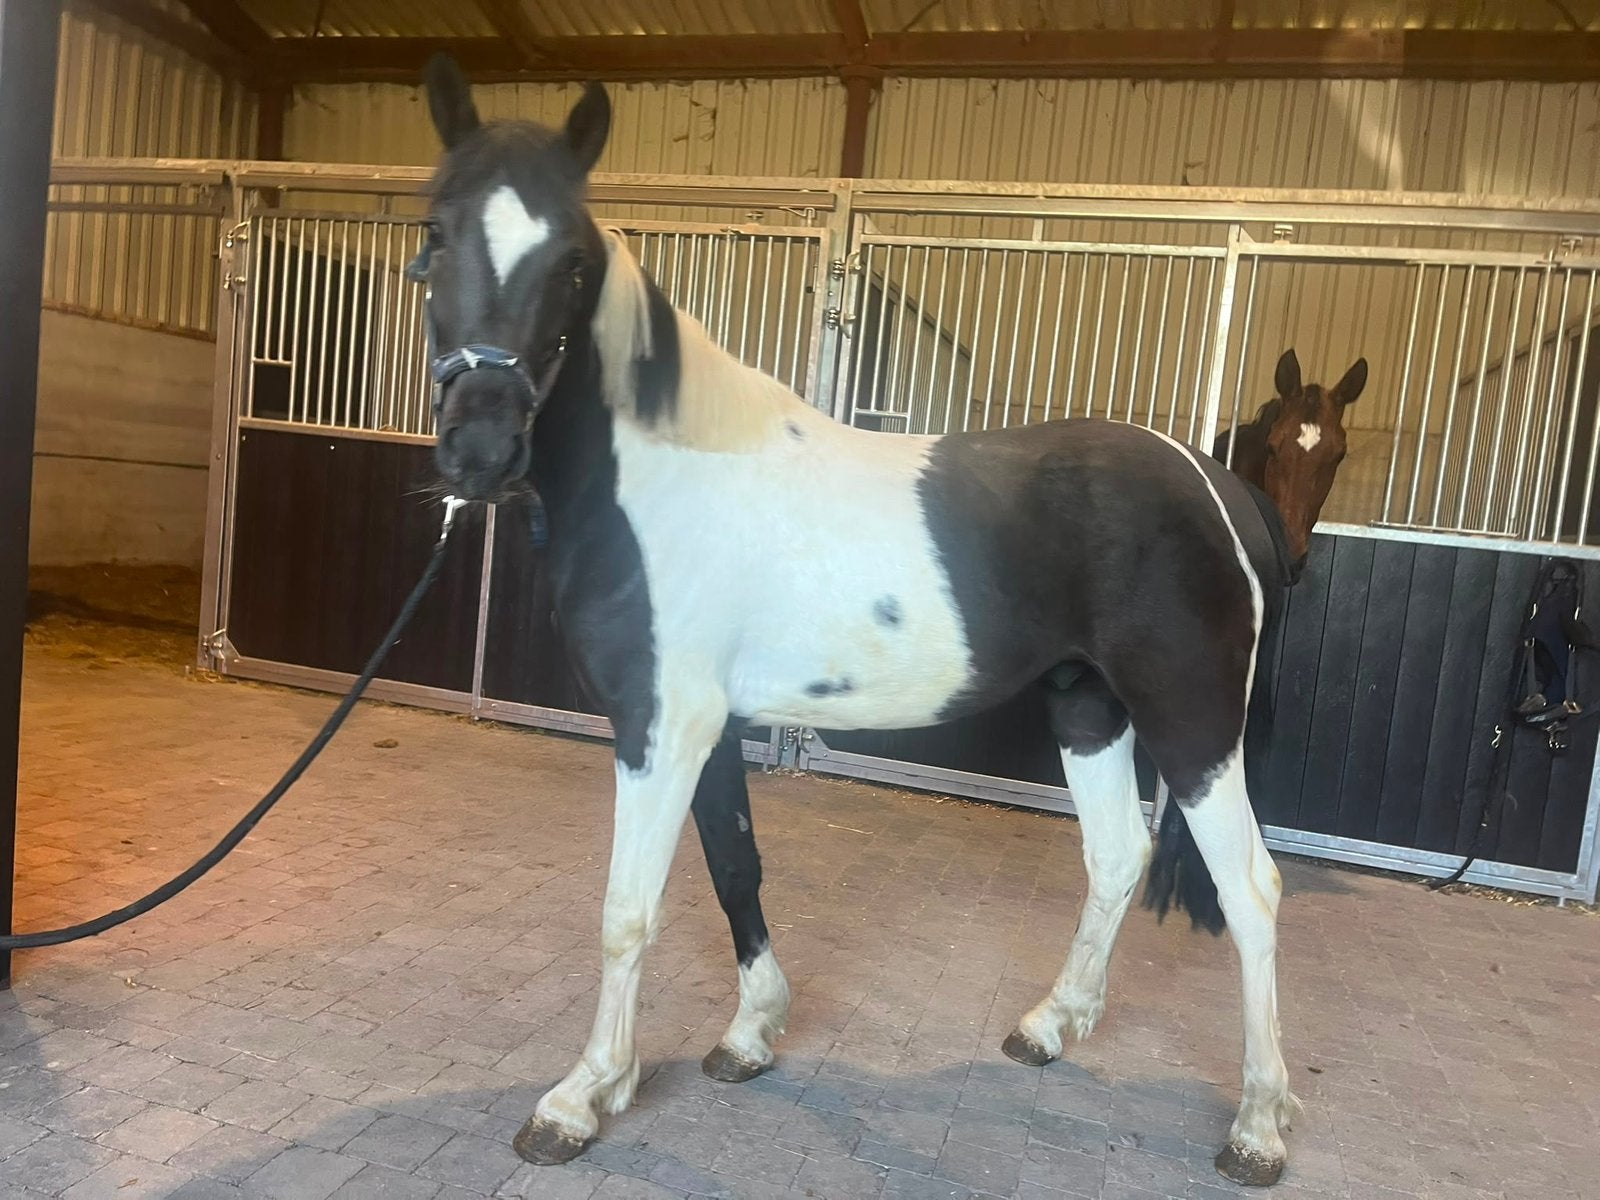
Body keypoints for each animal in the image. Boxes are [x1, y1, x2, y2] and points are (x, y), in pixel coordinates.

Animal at [414, 55, 1300, 1188]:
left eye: (570, 260)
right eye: (437, 230)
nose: (478, 451)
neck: (667, 478)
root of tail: (1221, 488)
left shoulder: (659, 728)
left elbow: (627, 910)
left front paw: (582, 1098)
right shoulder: (710, 727)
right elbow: (733, 866)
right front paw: (749, 1035)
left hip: (1191, 729)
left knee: (1253, 892)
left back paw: (1257, 1127)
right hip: (1088, 710)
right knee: (1115, 857)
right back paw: (1049, 1027)